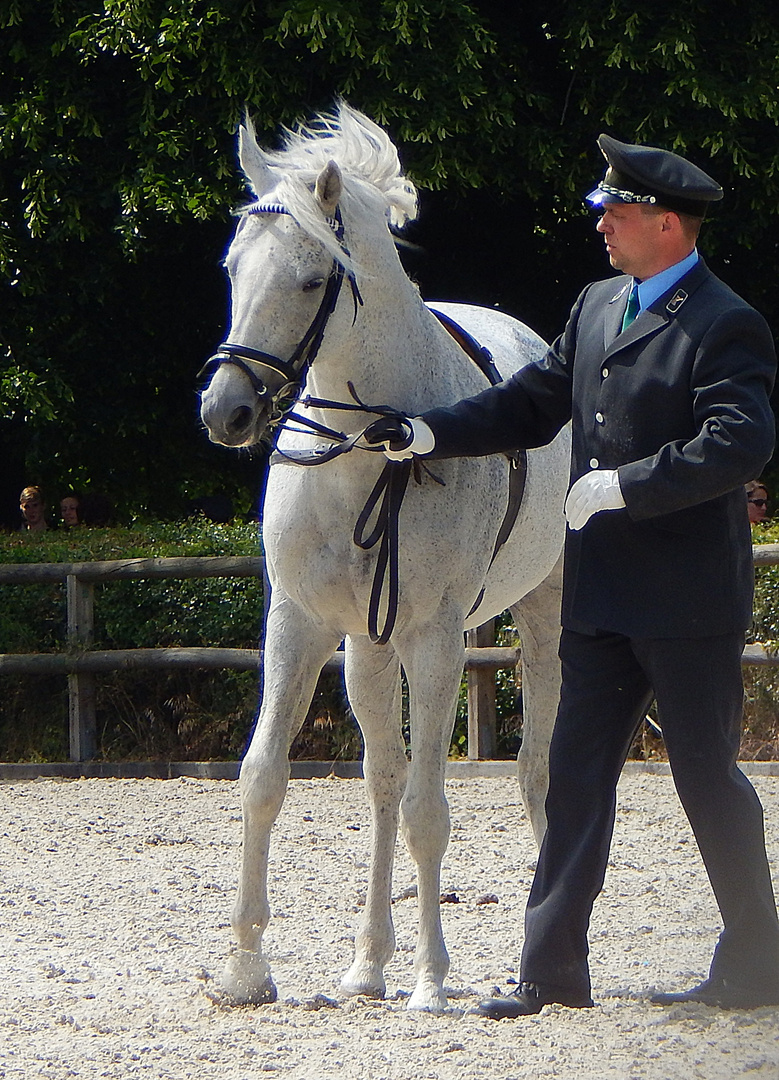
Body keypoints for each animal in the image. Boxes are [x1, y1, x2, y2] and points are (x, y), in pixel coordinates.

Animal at [197, 101, 566, 1010]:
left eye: (307, 280)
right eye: (232, 269)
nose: (225, 411)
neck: (370, 453)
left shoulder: (434, 640)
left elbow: (433, 809)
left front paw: (432, 976)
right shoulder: (298, 624)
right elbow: (265, 777)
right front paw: (247, 968)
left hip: (539, 619)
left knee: (533, 769)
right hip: (367, 646)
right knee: (384, 781)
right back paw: (368, 962)